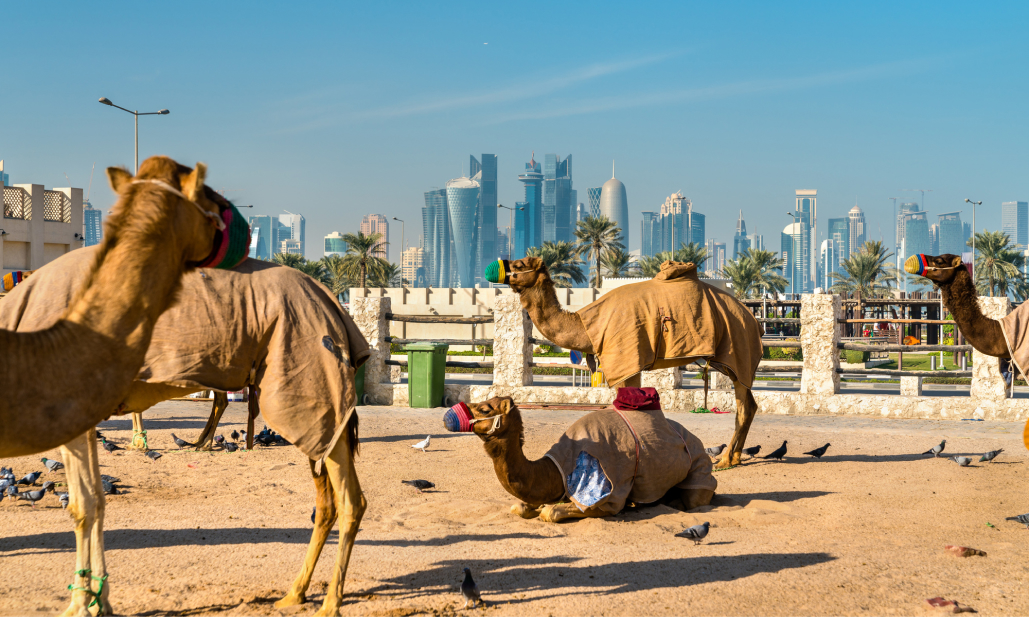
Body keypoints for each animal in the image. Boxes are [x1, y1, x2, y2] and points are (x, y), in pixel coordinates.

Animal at [2, 235, 372, 612]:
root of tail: (334, 304)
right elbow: (96, 503)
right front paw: (97, 602)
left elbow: (82, 507)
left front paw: (80, 605)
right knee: (326, 499)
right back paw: (294, 593)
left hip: (310, 375)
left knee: (350, 500)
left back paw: (330, 603)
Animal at [442, 394, 716, 520]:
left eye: (485, 408)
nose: (448, 414)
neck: (556, 469)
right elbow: (518, 506)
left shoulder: (604, 492)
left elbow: (551, 513)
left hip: (700, 468)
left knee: (696, 497)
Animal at [483, 257, 765, 466]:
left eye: (520, 264)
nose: (494, 266)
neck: (587, 326)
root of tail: (754, 319)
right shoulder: (632, 364)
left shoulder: (627, 360)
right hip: (729, 362)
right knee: (748, 404)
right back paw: (735, 457)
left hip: (737, 349)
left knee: (743, 404)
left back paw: (726, 459)